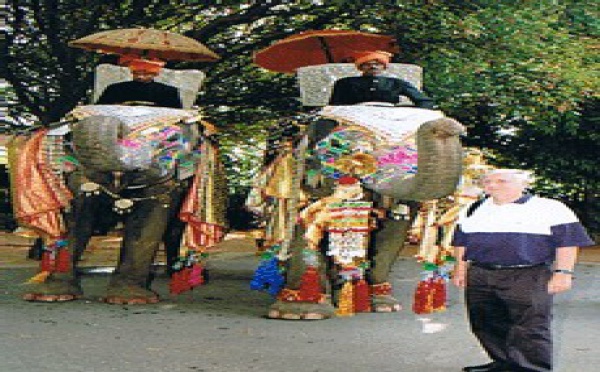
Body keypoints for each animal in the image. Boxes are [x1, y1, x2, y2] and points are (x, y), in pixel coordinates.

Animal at [11, 104, 227, 306]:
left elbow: (147, 220)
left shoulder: (167, 180)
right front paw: (50, 296)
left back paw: (181, 275)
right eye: (72, 128)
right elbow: (76, 216)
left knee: (175, 229)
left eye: (172, 140)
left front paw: (129, 299)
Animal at [247, 62, 464, 318]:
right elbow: (305, 225)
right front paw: (298, 312)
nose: (447, 126)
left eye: (413, 151)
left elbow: (393, 230)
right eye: (352, 151)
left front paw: (382, 305)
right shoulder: (303, 178)